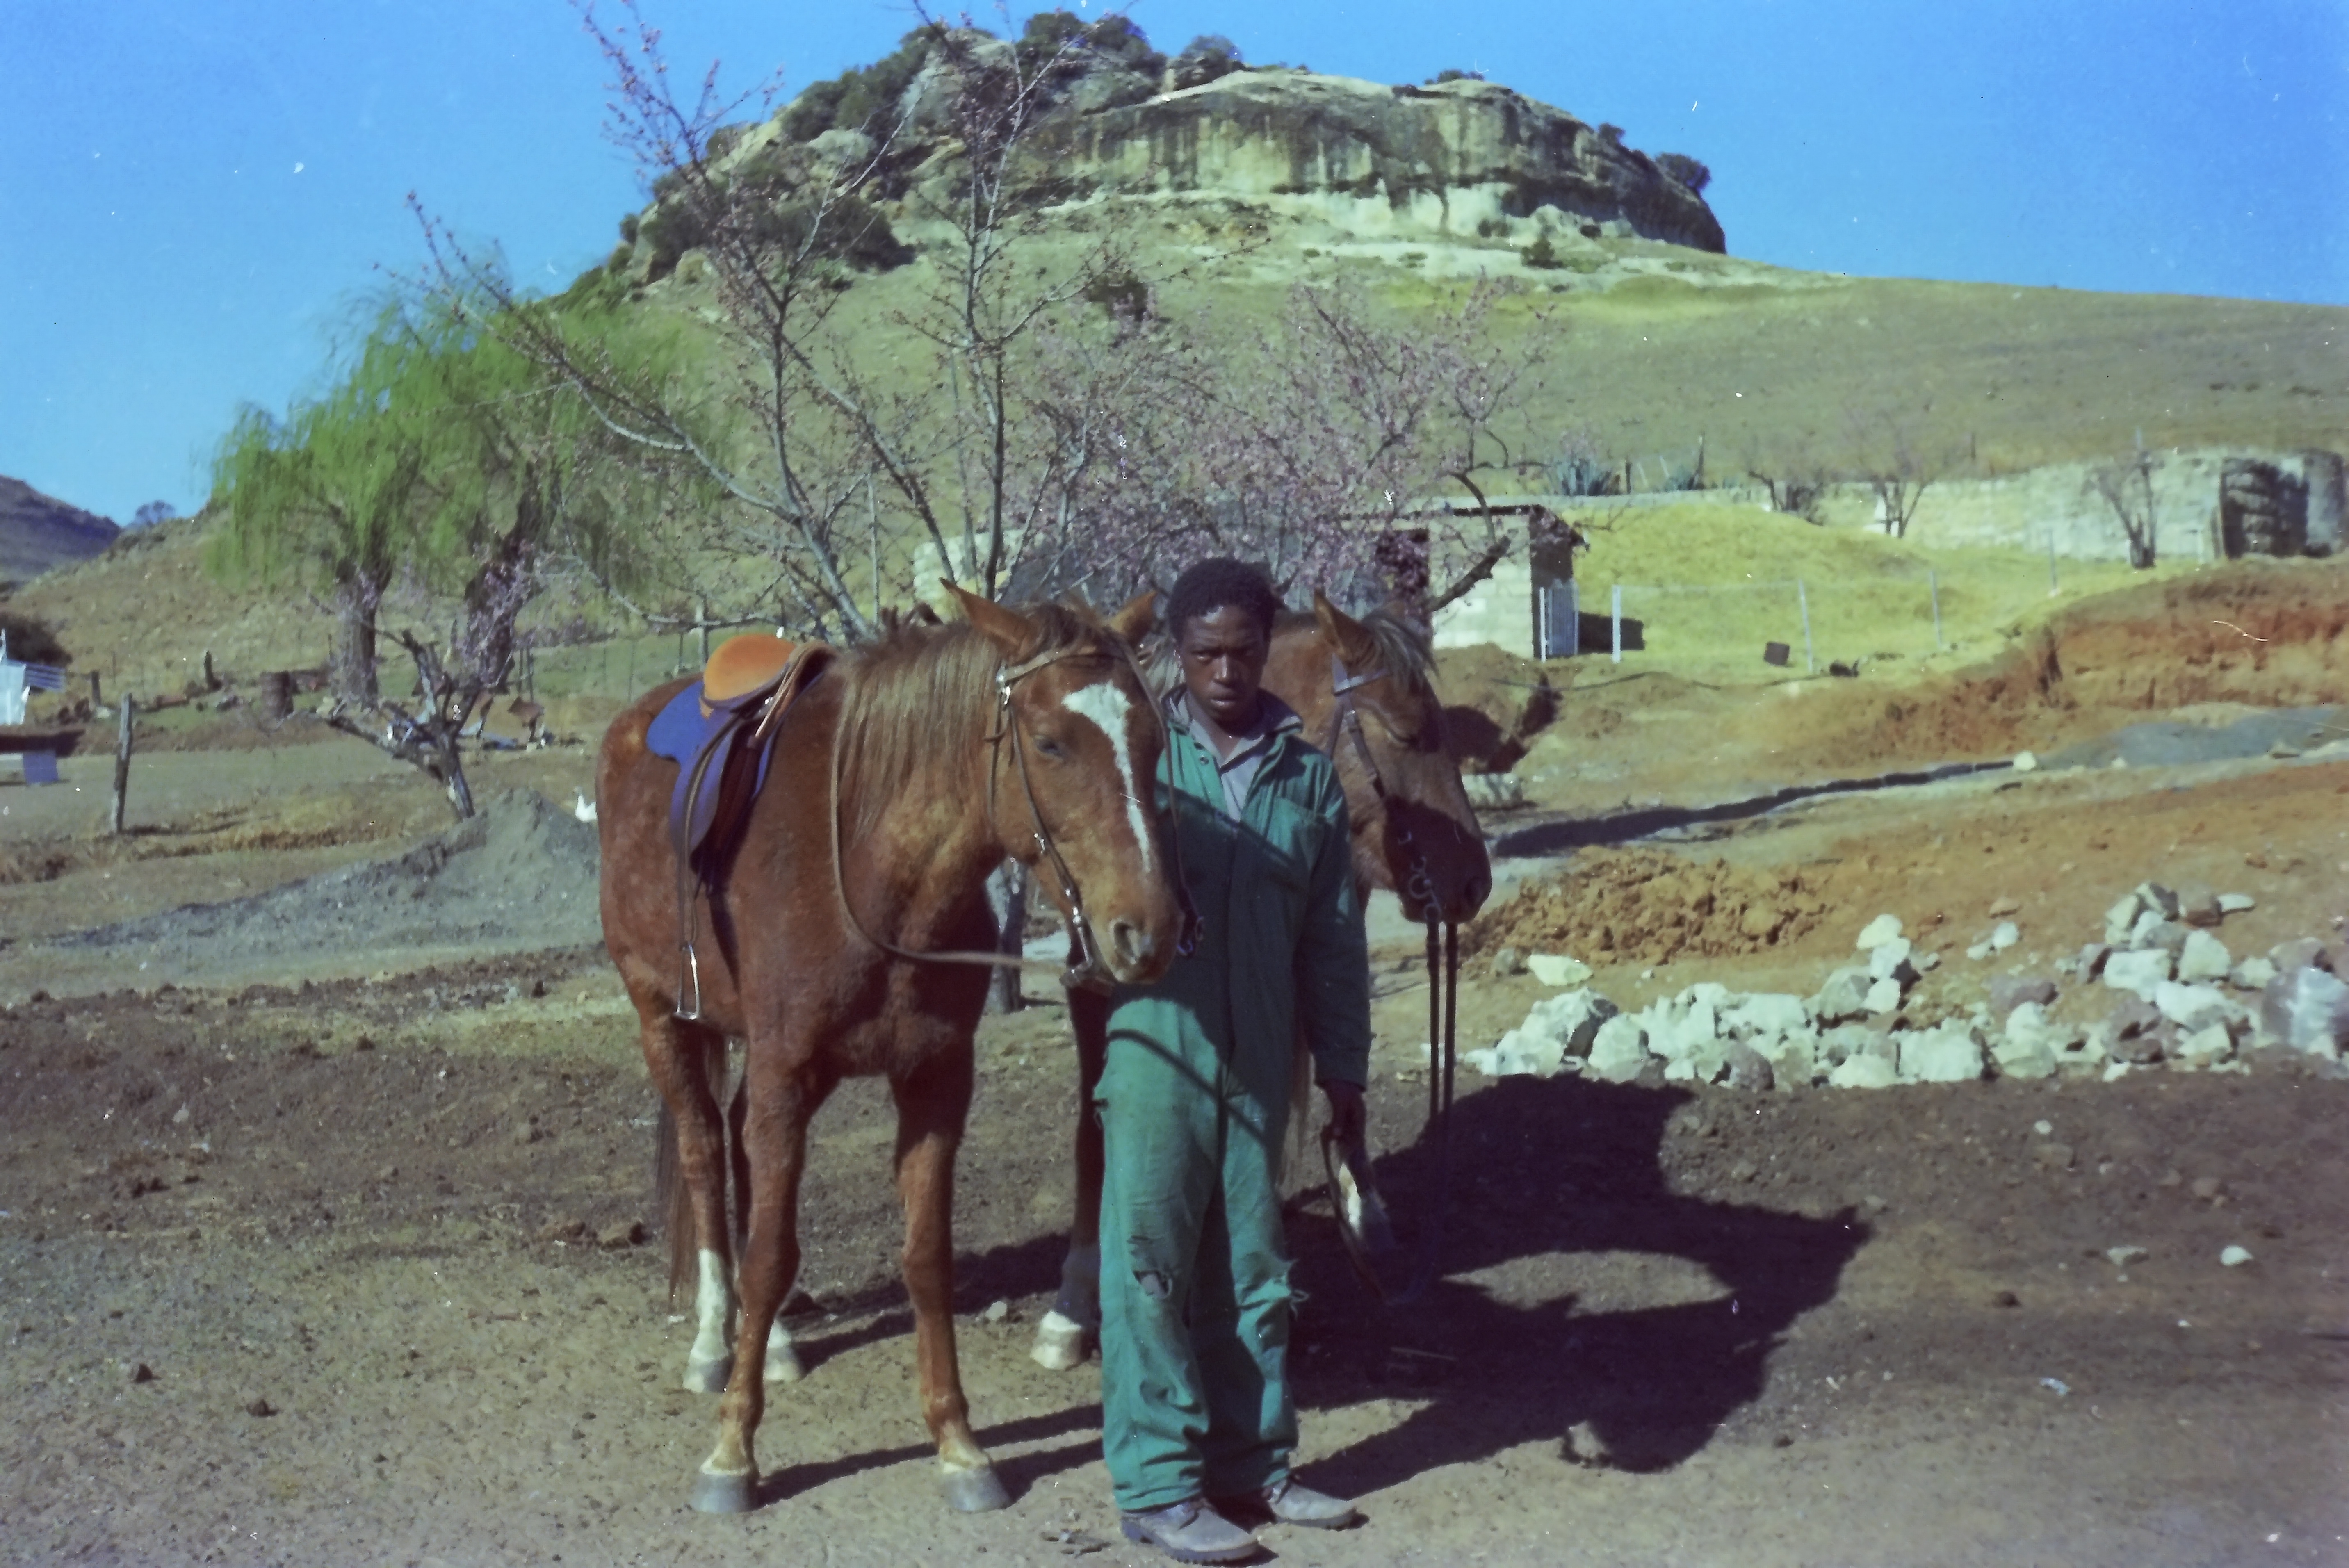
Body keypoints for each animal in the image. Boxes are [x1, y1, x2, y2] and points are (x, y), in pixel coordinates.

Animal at [597, 588, 1182, 1515]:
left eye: (1152, 741)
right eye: (1050, 742)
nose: (1148, 930)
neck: (875, 872)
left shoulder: (933, 1080)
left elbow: (924, 1256)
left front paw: (958, 1443)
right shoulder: (785, 1074)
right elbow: (770, 1252)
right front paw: (731, 1451)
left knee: (737, 1156)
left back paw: (777, 1340)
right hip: (663, 1018)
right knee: (701, 1152)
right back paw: (715, 1343)